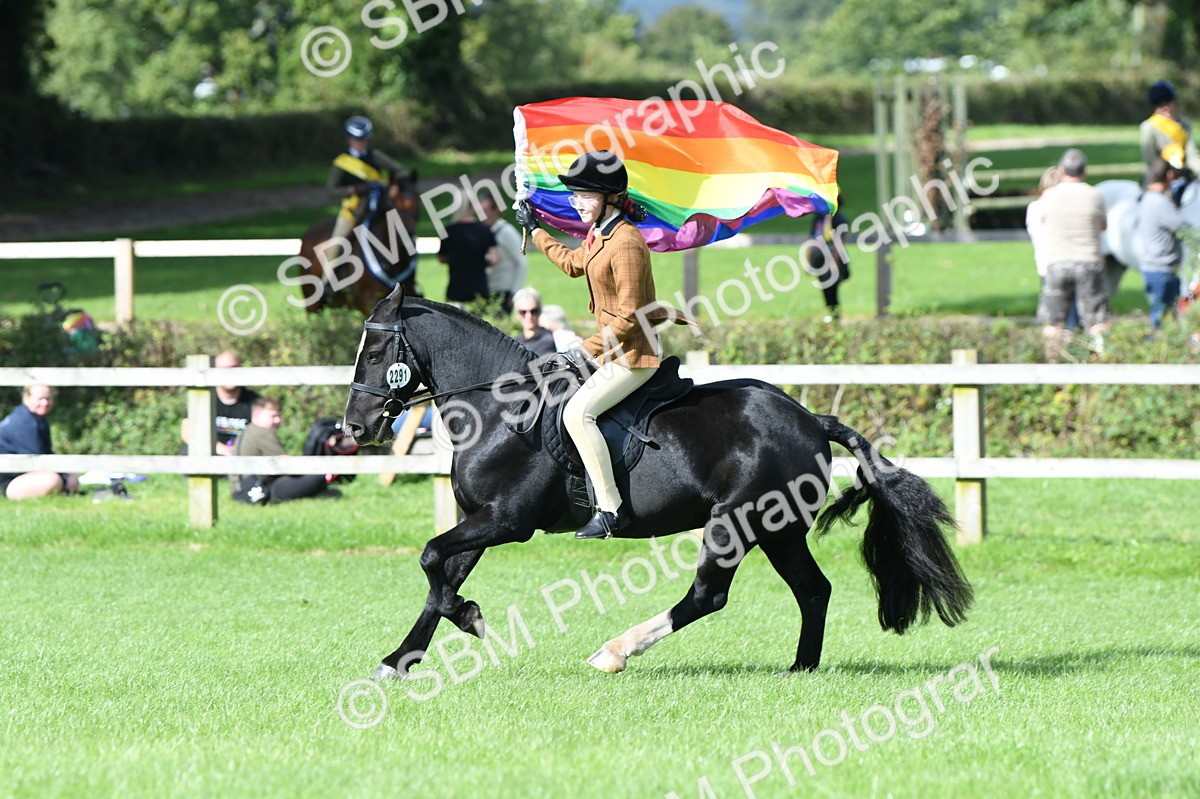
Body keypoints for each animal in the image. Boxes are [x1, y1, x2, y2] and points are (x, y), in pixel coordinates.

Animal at [342, 290, 974, 679]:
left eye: (373, 353)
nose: (355, 427)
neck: (499, 408)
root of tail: (811, 419)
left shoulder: (506, 521)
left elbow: (431, 560)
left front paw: (469, 619)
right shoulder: (479, 520)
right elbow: (439, 580)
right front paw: (400, 659)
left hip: (735, 523)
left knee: (708, 596)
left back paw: (615, 653)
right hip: (779, 530)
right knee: (812, 590)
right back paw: (801, 667)